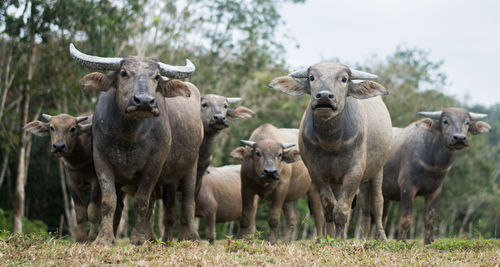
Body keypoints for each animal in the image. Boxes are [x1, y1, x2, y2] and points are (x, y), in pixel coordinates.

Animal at [23, 113, 102, 243]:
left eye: (72, 129)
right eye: (51, 127)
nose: (58, 146)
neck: (79, 160)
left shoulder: (97, 181)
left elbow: (93, 211)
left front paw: (91, 238)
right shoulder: (71, 183)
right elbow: (80, 213)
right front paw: (81, 239)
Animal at [71, 43, 203, 246]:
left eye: (156, 76)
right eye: (123, 73)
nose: (144, 101)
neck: (129, 136)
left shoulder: (155, 164)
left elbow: (142, 201)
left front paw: (138, 239)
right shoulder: (100, 159)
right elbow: (109, 201)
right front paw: (104, 238)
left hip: (191, 167)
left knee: (188, 203)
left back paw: (190, 238)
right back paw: (151, 237)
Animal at [270, 63, 394, 241]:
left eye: (344, 79)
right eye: (311, 77)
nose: (324, 97)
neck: (331, 142)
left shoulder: (355, 170)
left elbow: (342, 209)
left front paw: (341, 239)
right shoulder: (316, 172)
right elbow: (329, 207)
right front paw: (330, 238)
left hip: (377, 170)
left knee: (377, 203)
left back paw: (380, 237)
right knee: (363, 208)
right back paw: (361, 237)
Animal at [378, 108, 492, 245]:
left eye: (467, 122)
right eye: (445, 121)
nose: (459, 138)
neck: (432, 163)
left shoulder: (435, 191)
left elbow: (429, 219)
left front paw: (428, 242)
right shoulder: (407, 188)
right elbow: (407, 219)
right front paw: (402, 242)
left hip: (386, 196)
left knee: (382, 216)